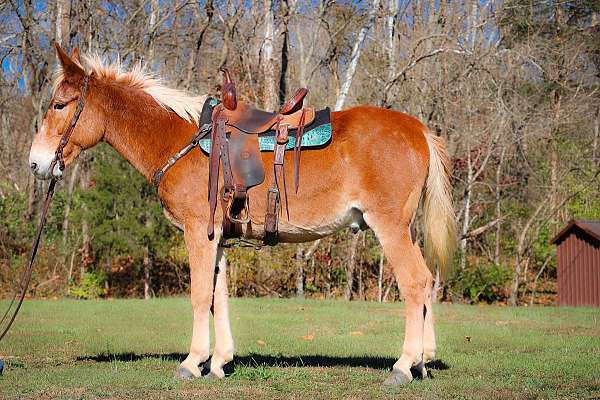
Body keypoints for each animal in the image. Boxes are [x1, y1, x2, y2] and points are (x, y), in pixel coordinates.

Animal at [29, 45, 454, 386]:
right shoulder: (216, 237)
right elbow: (219, 296)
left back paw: (403, 365)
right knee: (426, 282)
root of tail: (418, 129)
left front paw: (192, 362)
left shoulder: (198, 232)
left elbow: (201, 295)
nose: (36, 163)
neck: (179, 139)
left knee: (415, 282)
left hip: (390, 226)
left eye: (60, 105)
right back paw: (422, 361)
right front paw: (218, 361)